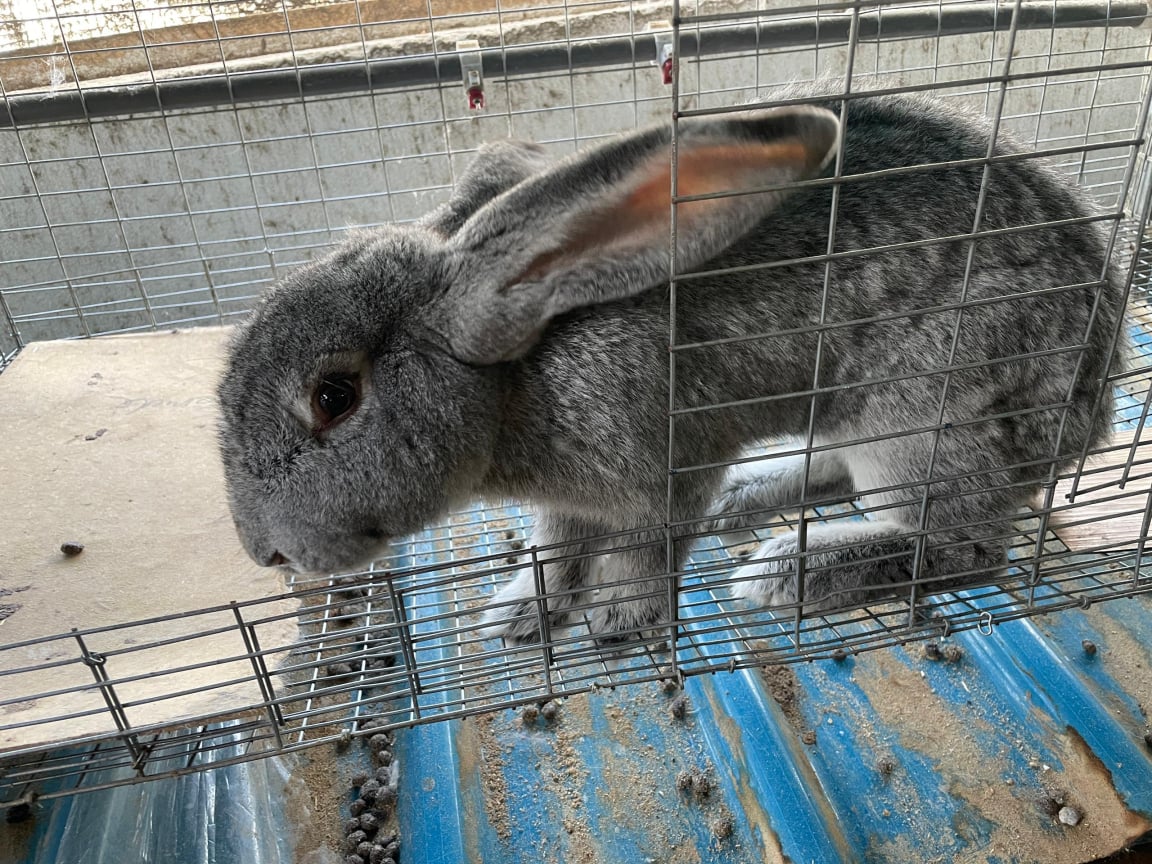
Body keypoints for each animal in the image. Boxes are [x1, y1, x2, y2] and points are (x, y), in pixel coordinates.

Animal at [217, 83, 1124, 646]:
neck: (516, 383)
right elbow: (554, 549)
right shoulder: (567, 504)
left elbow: (646, 550)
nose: (265, 554)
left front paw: (622, 619)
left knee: (966, 544)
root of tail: (1089, 415)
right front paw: (517, 618)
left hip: (917, 421)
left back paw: (797, 569)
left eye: (333, 396)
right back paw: (754, 500)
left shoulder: (671, 464)